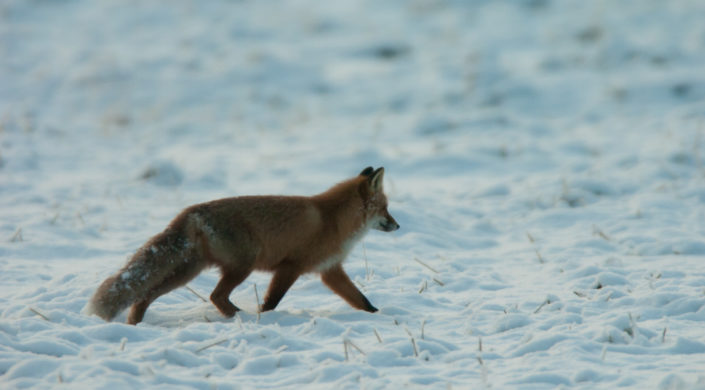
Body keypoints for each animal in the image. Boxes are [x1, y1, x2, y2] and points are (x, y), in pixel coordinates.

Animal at [85, 166, 398, 324]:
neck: (333, 219)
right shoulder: (290, 267)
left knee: (144, 294)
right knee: (216, 296)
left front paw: (380, 317)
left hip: (187, 272)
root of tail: (190, 212)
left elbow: (362, 300)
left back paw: (135, 324)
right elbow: (272, 302)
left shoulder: (330, 271)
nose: (398, 226)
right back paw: (240, 317)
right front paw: (265, 318)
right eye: (385, 208)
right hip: (242, 266)